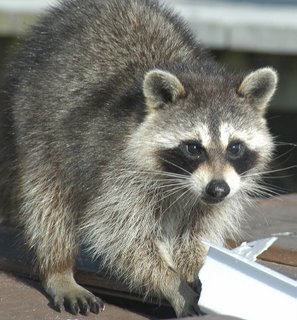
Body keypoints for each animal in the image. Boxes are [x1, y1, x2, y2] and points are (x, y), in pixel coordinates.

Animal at [0, 0, 276, 316]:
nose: (217, 189)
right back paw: (58, 269)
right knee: (48, 207)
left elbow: (198, 232)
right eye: (194, 148)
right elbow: (121, 235)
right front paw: (173, 285)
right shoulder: (120, 170)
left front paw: (197, 269)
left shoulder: (219, 192)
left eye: (235, 147)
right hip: (36, 128)